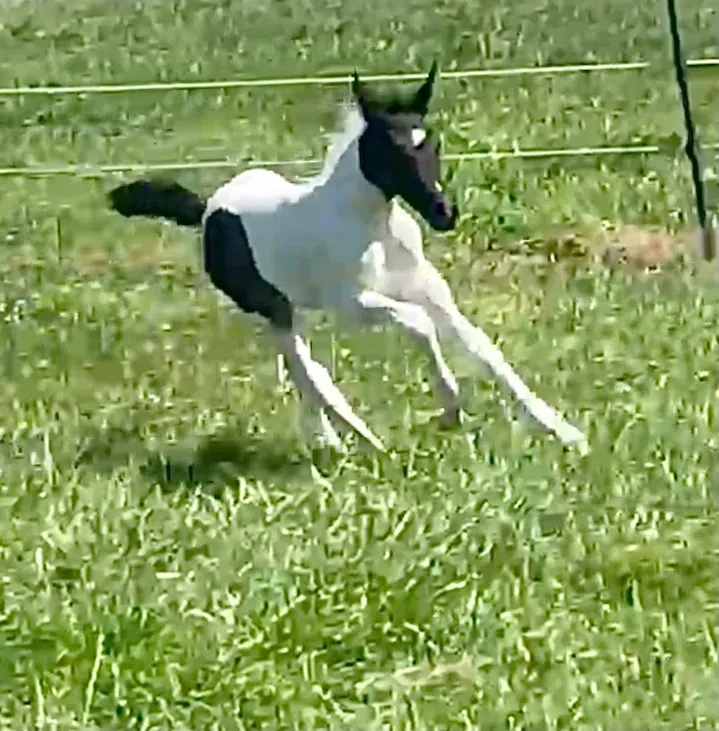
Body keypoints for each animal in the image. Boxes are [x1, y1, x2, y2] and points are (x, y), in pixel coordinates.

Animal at [107, 62, 588, 455]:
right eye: (391, 149)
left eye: (432, 143)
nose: (443, 213)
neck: (374, 229)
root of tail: (209, 208)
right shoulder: (352, 305)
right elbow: (419, 324)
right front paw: (451, 408)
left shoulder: (431, 293)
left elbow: (485, 349)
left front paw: (564, 432)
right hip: (272, 307)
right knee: (307, 369)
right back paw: (358, 440)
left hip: (290, 308)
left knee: (302, 370)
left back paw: (333, 440)